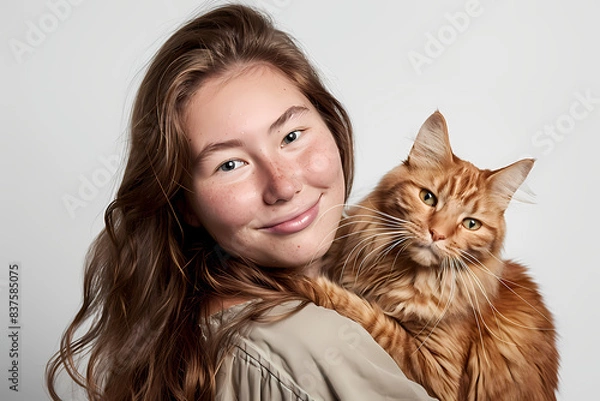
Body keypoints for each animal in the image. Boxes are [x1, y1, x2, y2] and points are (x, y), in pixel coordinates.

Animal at [312, 111, 560, 400]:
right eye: (428, 198)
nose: (437, 234)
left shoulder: (438, 371)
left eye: (471, 224)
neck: (400, 275)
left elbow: (370, 317)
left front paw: (308, 282)